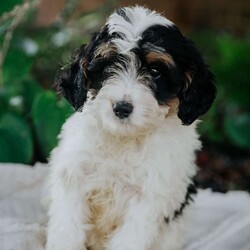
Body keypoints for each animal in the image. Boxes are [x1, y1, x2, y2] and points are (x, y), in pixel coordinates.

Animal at [46, 5, 216, 250]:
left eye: (155, 72)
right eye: (108, 66)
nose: (122, 108)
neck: (125, 138)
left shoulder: (149, 196)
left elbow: (130, 237)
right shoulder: (73, 177)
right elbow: (67, 228)